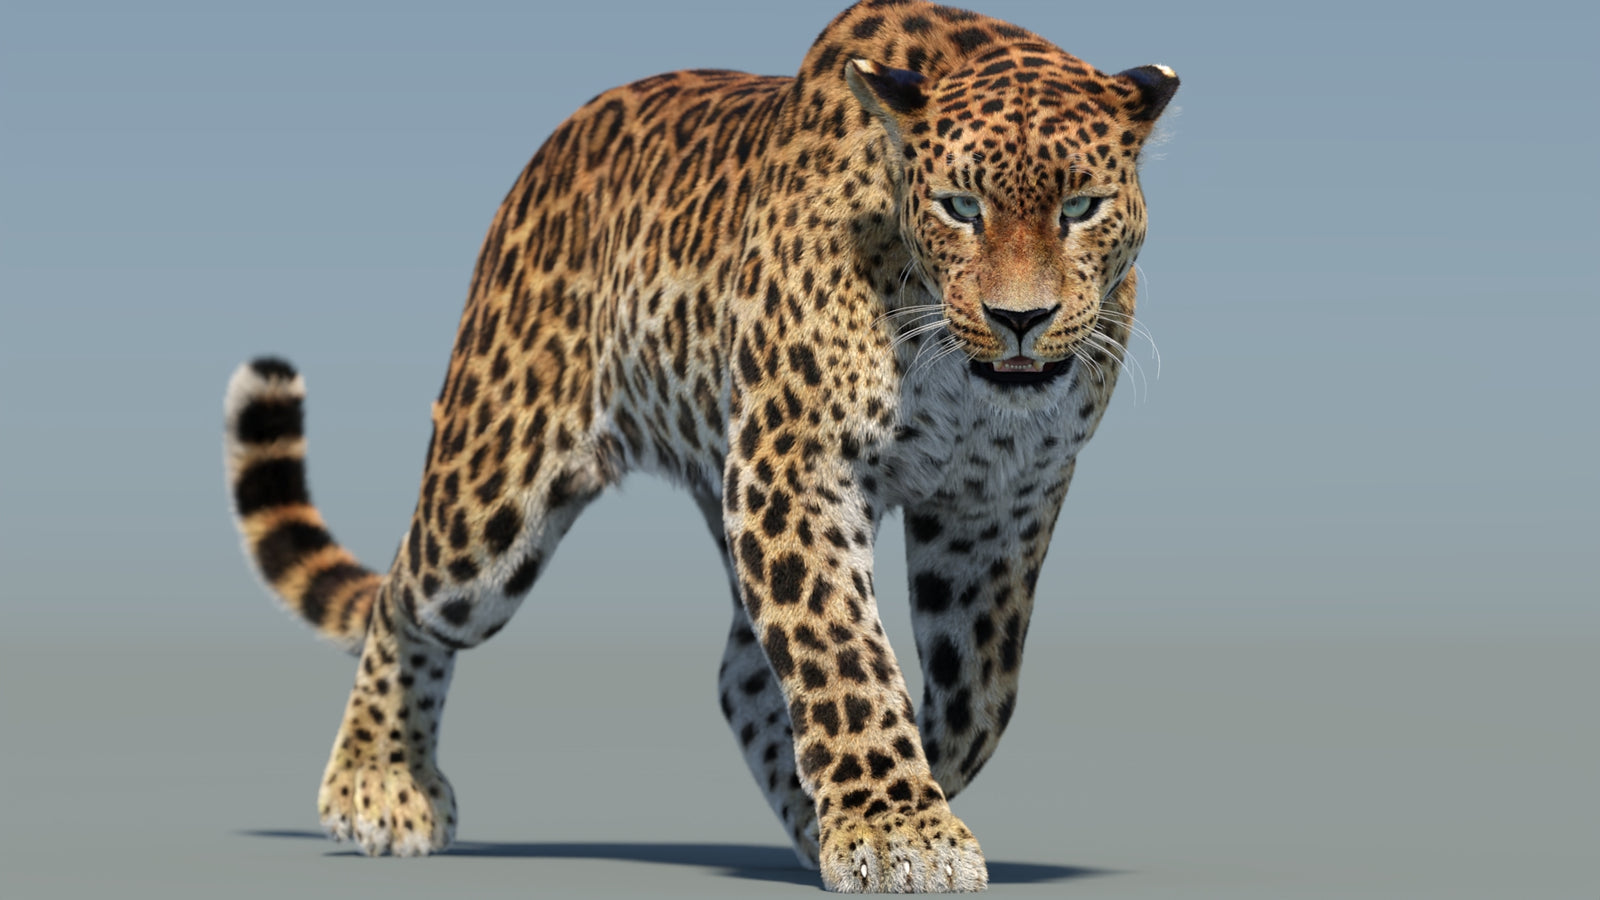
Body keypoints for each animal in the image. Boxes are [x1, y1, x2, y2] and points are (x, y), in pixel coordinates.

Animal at [222, 0, 1177, 892]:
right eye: (960, 208)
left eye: (1081, 208)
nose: (1021, 320)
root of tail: (549, 152)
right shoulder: (794, 467)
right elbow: (843, 653)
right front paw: (896, 829)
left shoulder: (997, 506)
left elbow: (978, 689)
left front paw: (883, 806)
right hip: (494, 491)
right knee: (405, 596)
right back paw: (379, 785)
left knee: (741, 672)